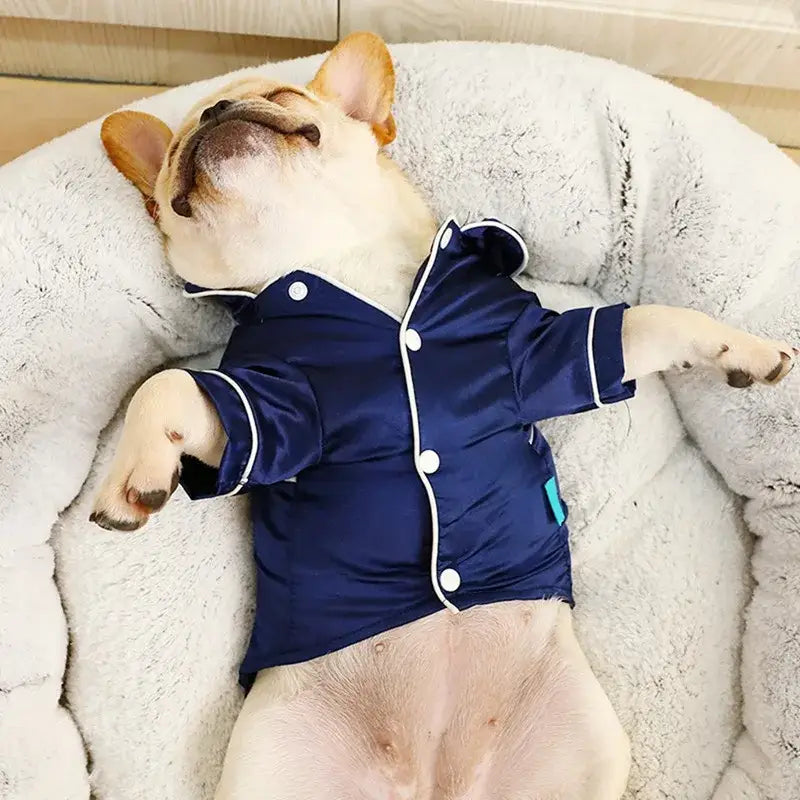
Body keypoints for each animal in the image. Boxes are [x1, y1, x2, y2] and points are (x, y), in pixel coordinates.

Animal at [92, 31, 792, 800]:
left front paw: (743, 348)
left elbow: (644, 321)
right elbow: (171, 388)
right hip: (271, 768)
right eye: (177, 150)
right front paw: (134, 475)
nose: (216, 109)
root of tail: (435, 785)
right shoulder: (276, 413)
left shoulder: (537, 357)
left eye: (283, 96)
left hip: (584, 746)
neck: (337, 262)